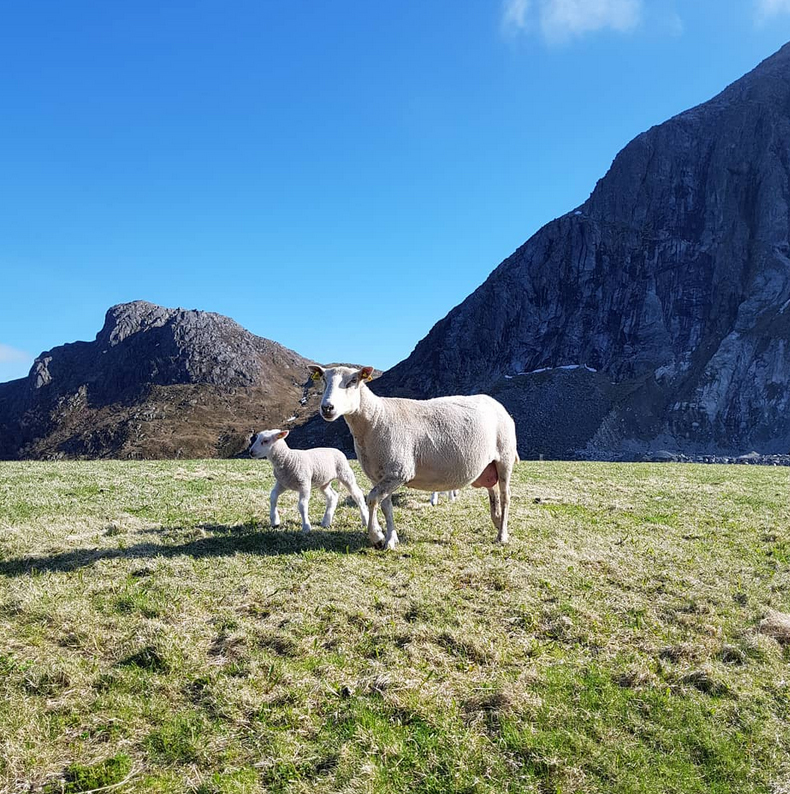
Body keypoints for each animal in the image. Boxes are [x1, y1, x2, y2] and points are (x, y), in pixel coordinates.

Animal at [308, 362, 520, 548]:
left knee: (505, 495)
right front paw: (391, 539)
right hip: (488, 466)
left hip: (505, 457)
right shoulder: (381, 475)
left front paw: (377, 536)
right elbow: (386, 506)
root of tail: (497, 404)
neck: (375, 418)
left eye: (353, 381)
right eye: (324, 380)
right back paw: (498, 521)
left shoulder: (399, 471)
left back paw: (502, 535)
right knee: (493, 492)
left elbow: (372, 499)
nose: (327, 408)